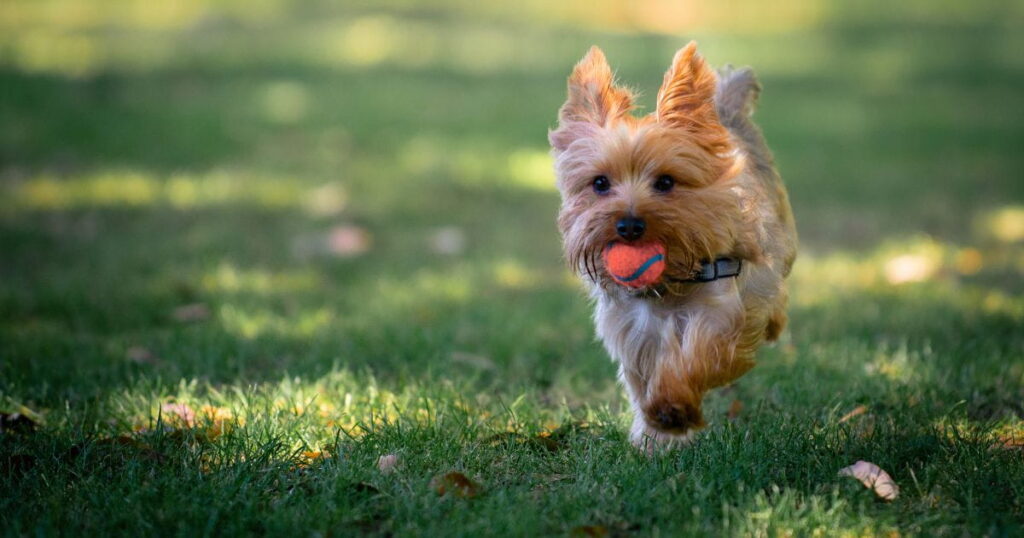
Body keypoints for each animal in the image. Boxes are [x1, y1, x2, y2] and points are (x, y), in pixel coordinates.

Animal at [548, 42, 794, 448]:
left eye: (665, 182)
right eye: (599, 183)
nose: (629, 225)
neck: (668, 283)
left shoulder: (721, 309)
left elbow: (698, 356)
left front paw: (672, 408)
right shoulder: (633, 330)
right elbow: (641, 378)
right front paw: (653, 435)